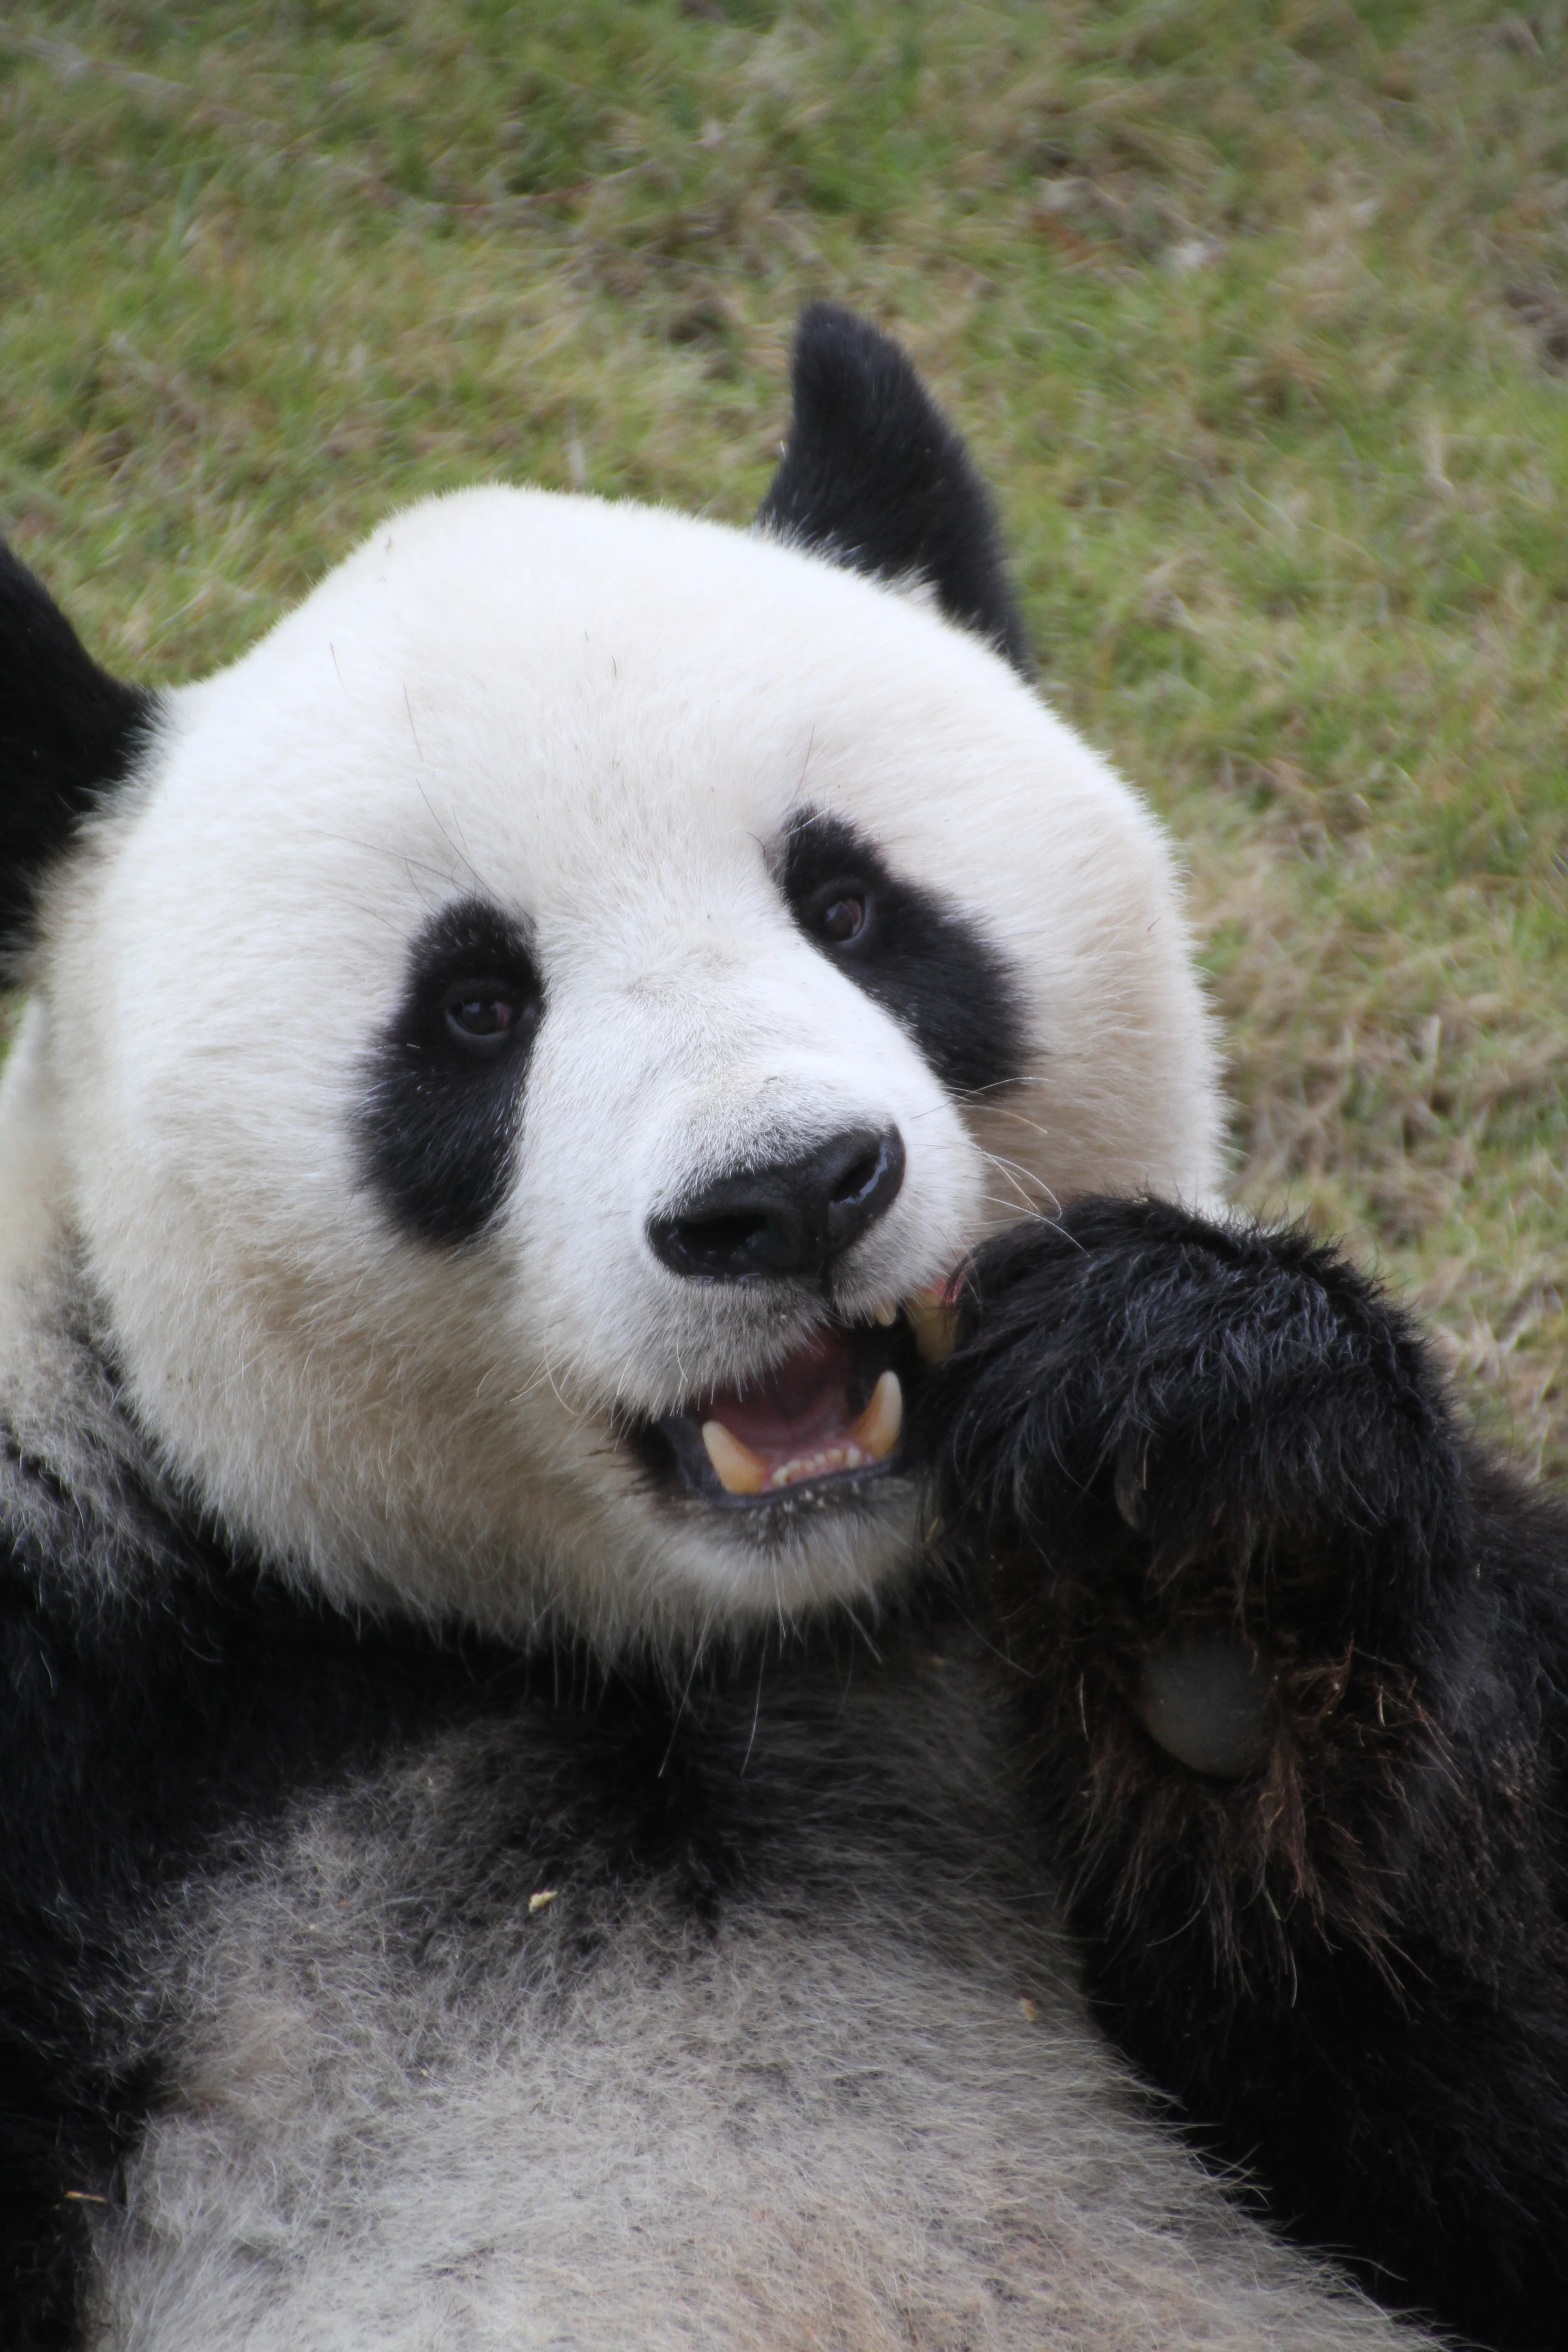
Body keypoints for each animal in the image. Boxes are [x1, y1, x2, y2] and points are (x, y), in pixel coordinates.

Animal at [2, 304, 1565, 2352]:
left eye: (851, 903)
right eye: (475, 1009)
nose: (789, 1191)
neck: (696, 1663)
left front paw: (1206, 1504)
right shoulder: (93, 1673)